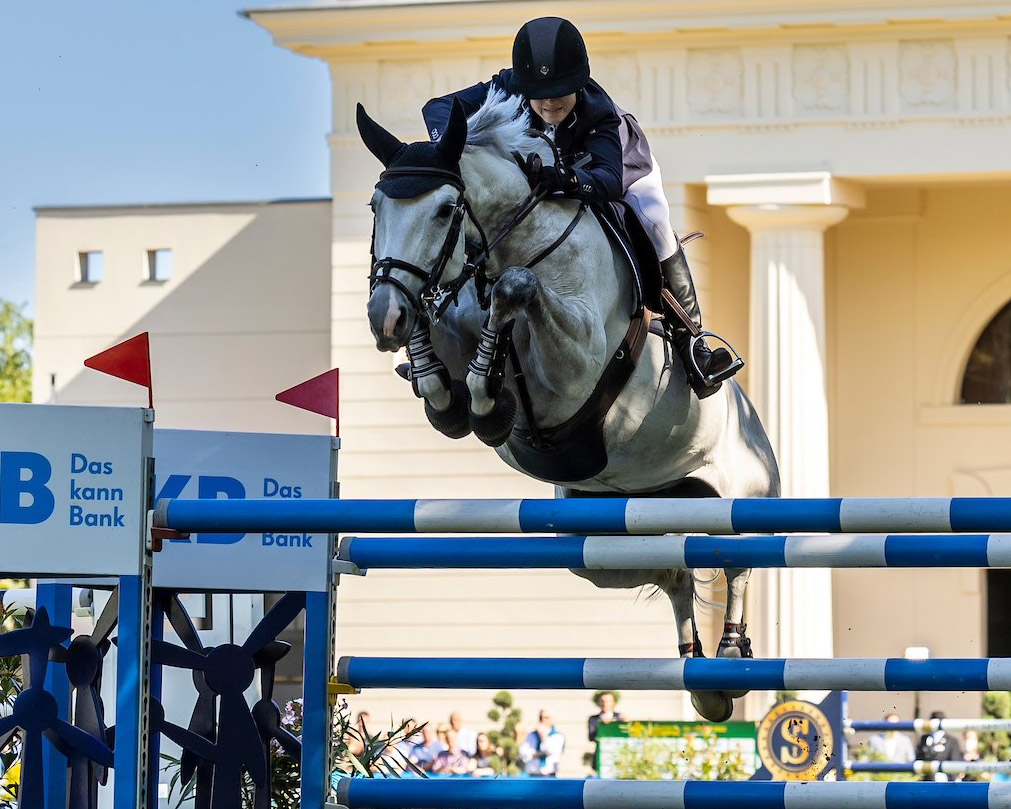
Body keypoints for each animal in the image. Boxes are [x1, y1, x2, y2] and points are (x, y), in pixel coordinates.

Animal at [359, 90, 776, 720]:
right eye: (376, 205)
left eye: (444, 210)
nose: (385, 315)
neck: (513, 241)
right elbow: (452, 352)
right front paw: (452, 395)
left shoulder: (576, 364)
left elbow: (517, 288)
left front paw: (486, 399)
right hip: (602, 545)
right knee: (674, 570)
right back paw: (699, 675)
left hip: (740, 498)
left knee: (739, 562)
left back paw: (729, 658)